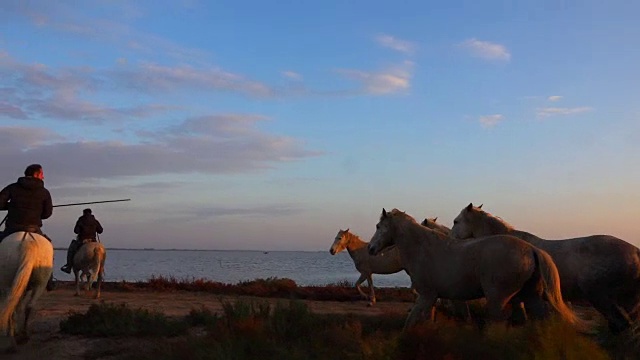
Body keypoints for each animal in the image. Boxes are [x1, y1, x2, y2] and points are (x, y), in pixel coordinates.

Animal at [368, 210, 588, 330]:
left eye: (378, 226)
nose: (370, 249)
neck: (423, 248)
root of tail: (532, 249)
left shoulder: (427, 296)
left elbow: (411, 322)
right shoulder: (435, 298)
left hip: (498, 298)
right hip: (530, 297)